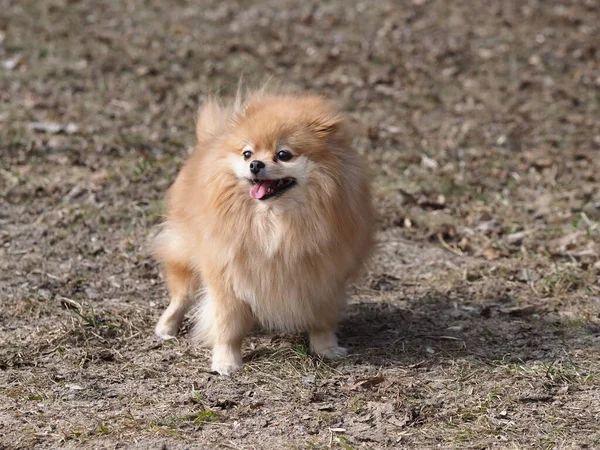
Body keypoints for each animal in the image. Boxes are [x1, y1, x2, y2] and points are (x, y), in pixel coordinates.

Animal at [152, 89, 372, 374]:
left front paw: (326, 348)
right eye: (247, 153)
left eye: (283, 154)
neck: (274, 223)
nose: (255, 164)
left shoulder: (325, 279)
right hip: (185, 255)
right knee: (181, 296)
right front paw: (226, 361)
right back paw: (166, 327)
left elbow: (322, 321)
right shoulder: (227, 279)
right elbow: (227, 326)